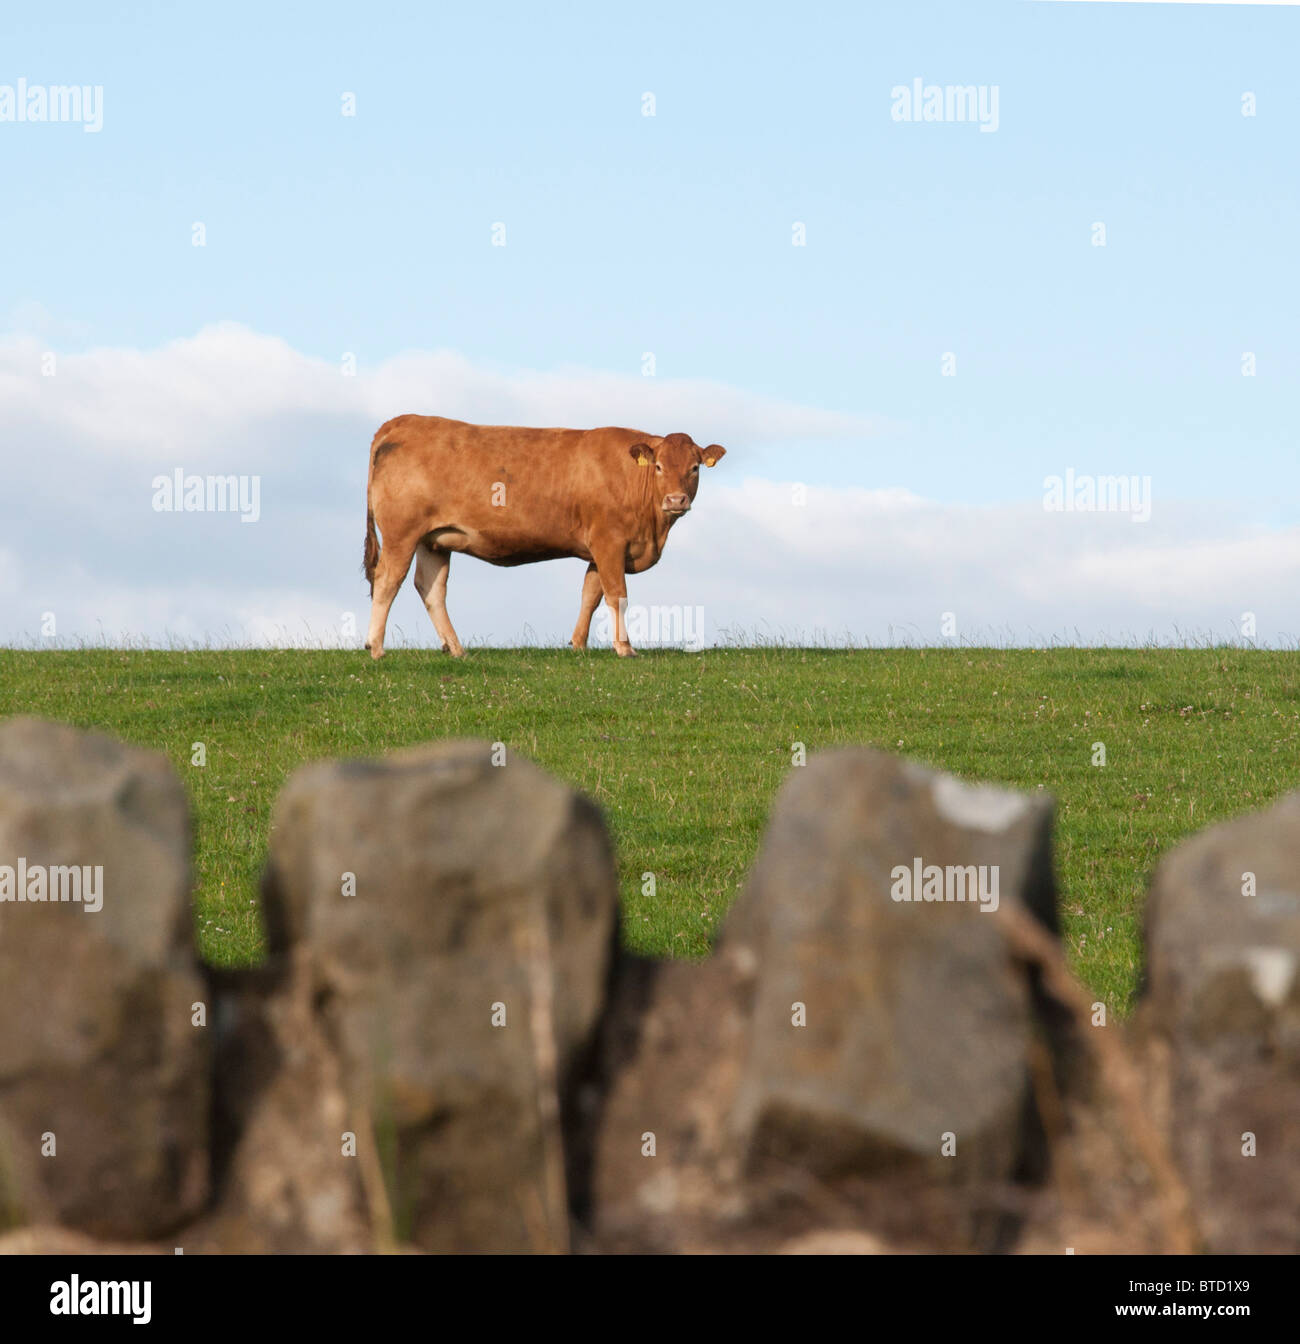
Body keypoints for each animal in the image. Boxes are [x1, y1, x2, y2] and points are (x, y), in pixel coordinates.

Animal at [361, 415, 726, 658]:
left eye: (694, 468)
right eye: (659, 467)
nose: (676, 500)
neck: (652, 530)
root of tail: (403, 421)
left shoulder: (600, 550)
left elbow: (590, 595)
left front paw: (578, 644)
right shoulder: (609, 541)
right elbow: (617, 595)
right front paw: (624, 647)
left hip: (434, 540)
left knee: (431, 588)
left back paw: (456, 648)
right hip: (401, 534)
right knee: (387, 580)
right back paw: (376, 647)